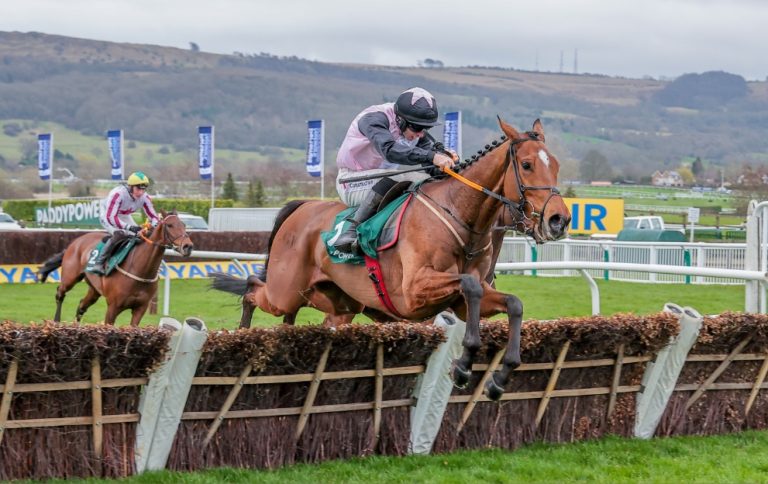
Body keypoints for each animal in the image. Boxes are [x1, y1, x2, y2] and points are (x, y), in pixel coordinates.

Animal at [37, 211, 194, 326]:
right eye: (170, 225)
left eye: (184, 224)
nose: (188, 246)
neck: (140, 270)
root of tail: (76, 241)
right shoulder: (113, 307)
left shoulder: (140, 308)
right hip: (70, 277)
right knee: (60, 293)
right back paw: (56, 321)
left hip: (94, 289)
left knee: (82, 305)